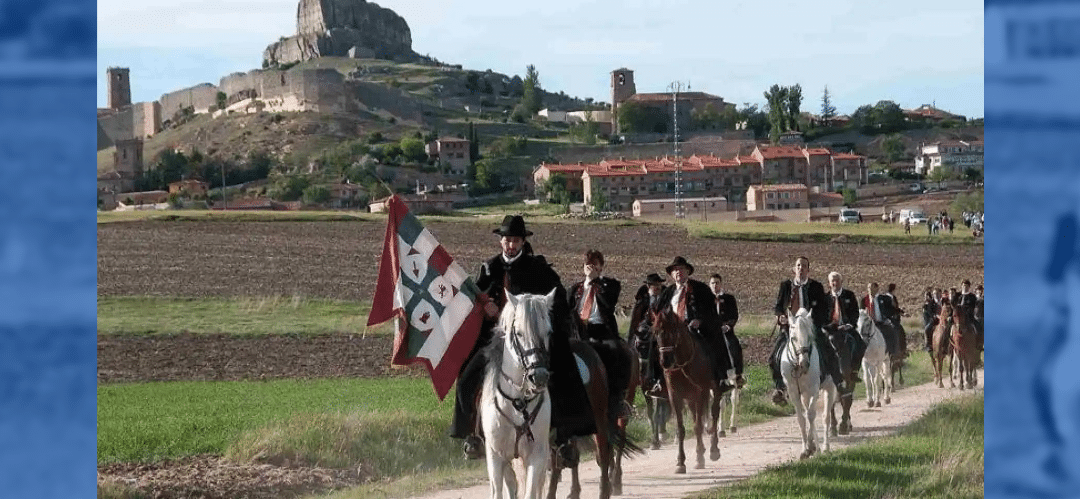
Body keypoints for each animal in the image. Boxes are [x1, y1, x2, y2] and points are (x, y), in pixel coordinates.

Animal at [481, 289, 557, 496]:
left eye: (548, 332)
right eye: (520, 333)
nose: (538, 376)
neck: (518, 402)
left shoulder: (537, 456)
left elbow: (531, 492)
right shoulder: (496, 458)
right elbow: (498, 491)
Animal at [643, 308, 721, 473]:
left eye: (673, 331)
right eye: (656, 332)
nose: (665, 361)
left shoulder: (700, 393)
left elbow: (698, 426)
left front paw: (699, 459)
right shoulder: (675, 397)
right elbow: (681, 429)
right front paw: (680, 462)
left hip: (713, 390)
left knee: (714, 413)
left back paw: (713, 450)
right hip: (690, 399)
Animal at [781, 308, 838, 460]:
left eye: (809, 337)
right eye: (793, 338)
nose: (804, 363)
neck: (796, 367)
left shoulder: (813, 390)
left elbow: (811, 415)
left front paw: (813, 448)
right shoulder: (794, 393)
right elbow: (801, 418)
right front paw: (805, 449)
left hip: (829, 389)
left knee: (825, 417)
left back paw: (825, 448)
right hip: (805, 395)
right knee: (808, 413)